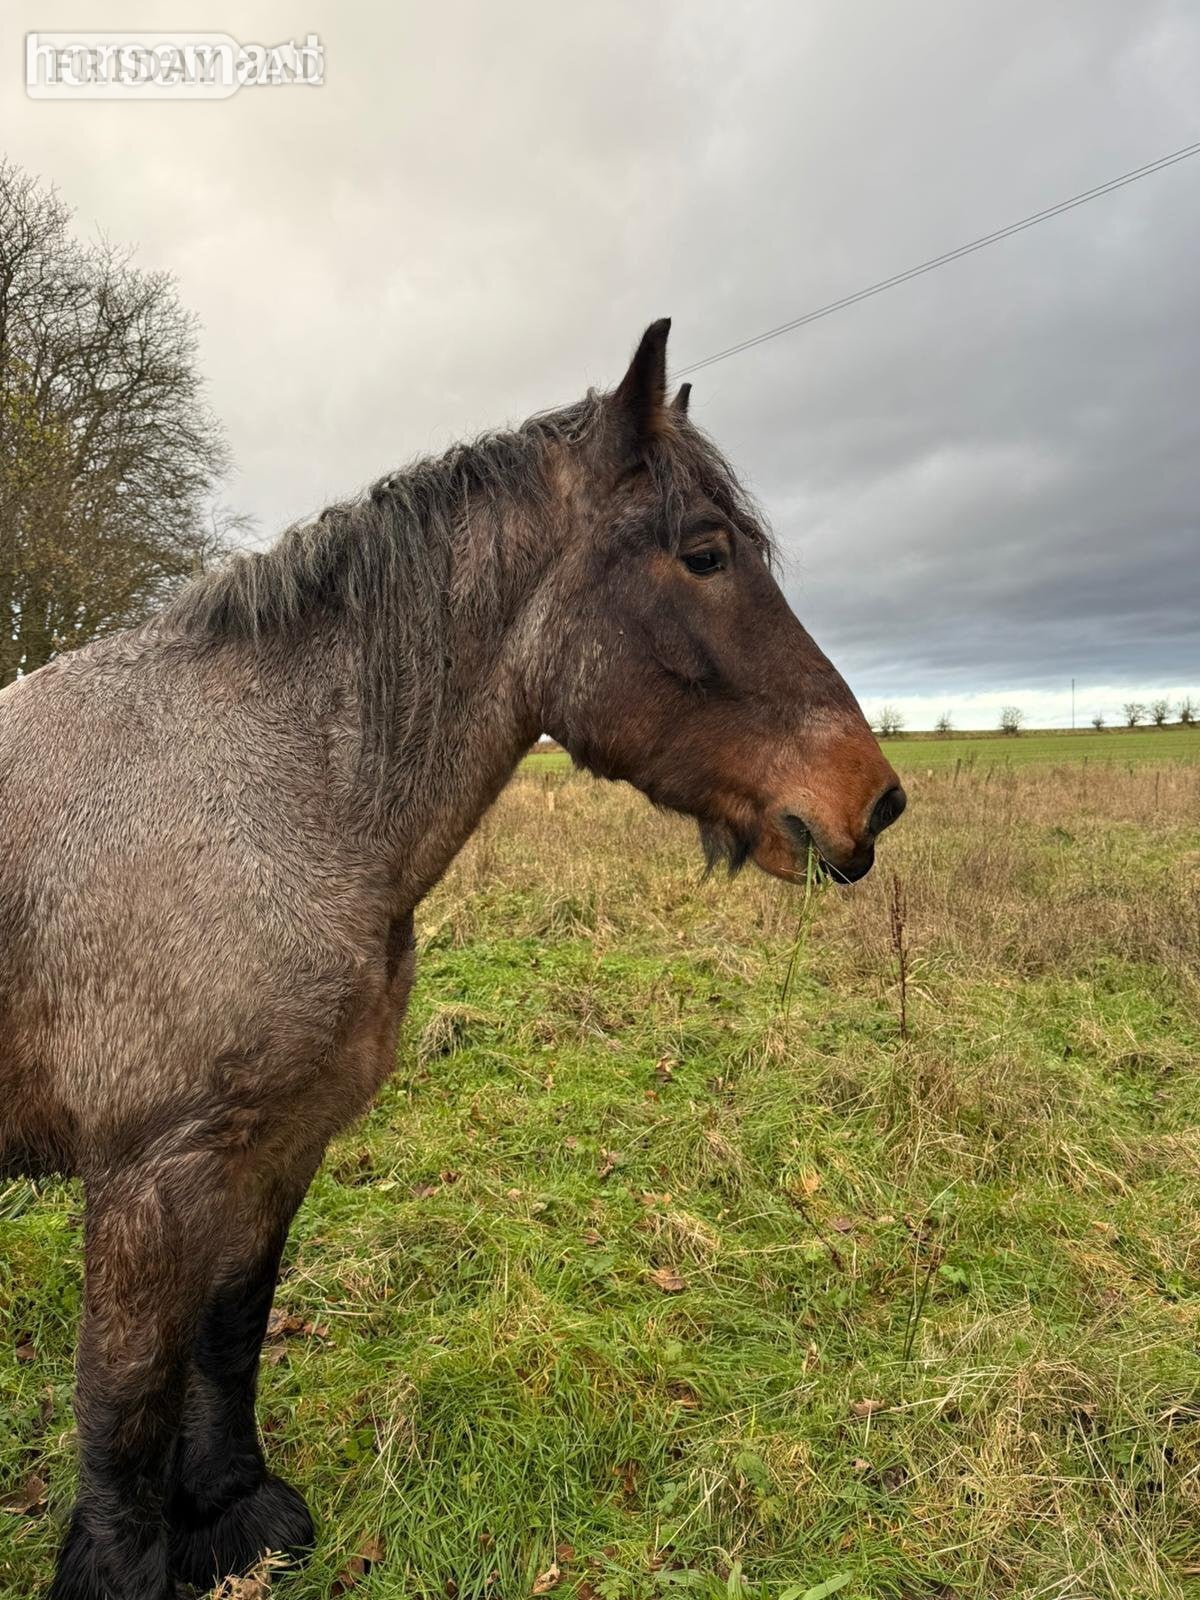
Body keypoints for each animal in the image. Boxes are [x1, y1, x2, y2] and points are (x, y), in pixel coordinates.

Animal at [0, 319, 905, 1598]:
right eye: (706, 552)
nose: (871, 801)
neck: (265, 798)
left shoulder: (277, 1147)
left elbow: (229, 1332)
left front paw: (231, 1508)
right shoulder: (144, 1178)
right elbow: (124, 1401)